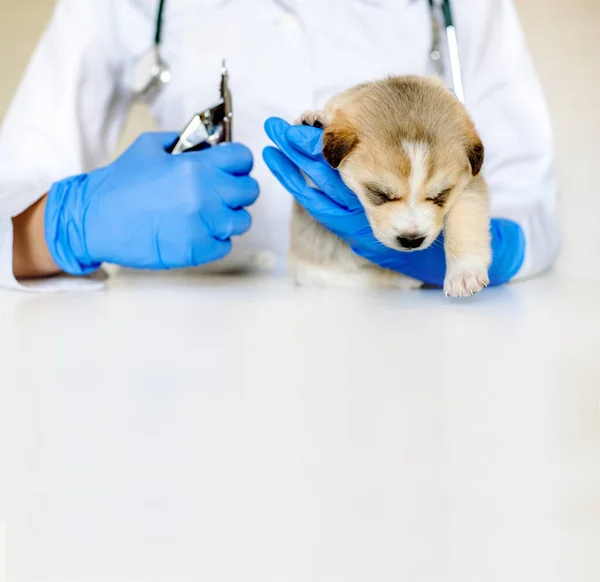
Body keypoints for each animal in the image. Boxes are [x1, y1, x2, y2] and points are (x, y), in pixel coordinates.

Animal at [290, 76, 492, 298]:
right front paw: (315, 119)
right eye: (379, 193)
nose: (411, 240)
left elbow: (464, 223)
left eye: (441, 194)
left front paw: (463, 273)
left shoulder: (469, 184)